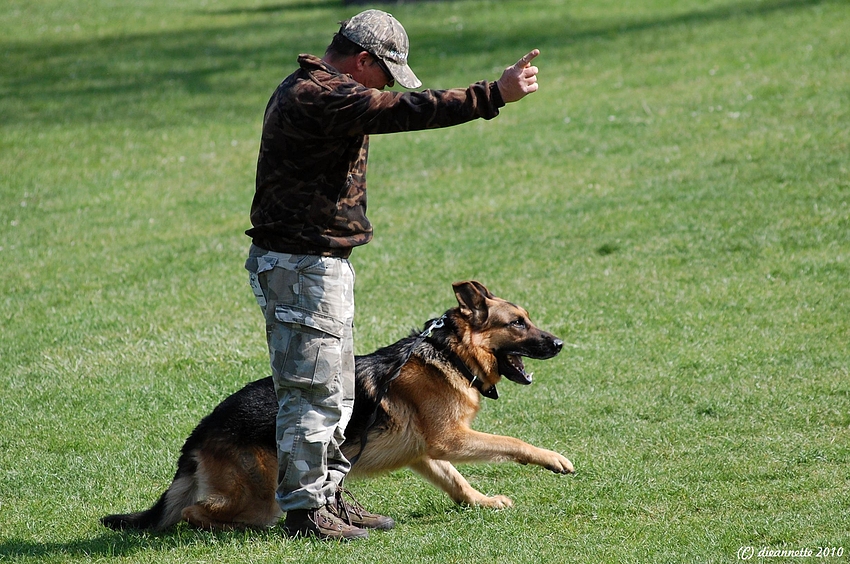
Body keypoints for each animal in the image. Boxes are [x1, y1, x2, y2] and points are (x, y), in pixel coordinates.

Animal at [102, 280, 572, 532]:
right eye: (518, 323)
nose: (559, 344)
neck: (449, 354)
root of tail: (201, 429)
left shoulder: (425, 453)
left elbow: (456, 481)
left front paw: (482, 501)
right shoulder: (452, 440)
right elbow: (511, 441)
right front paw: (553, 458)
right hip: (261, 497)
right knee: (195, 512)